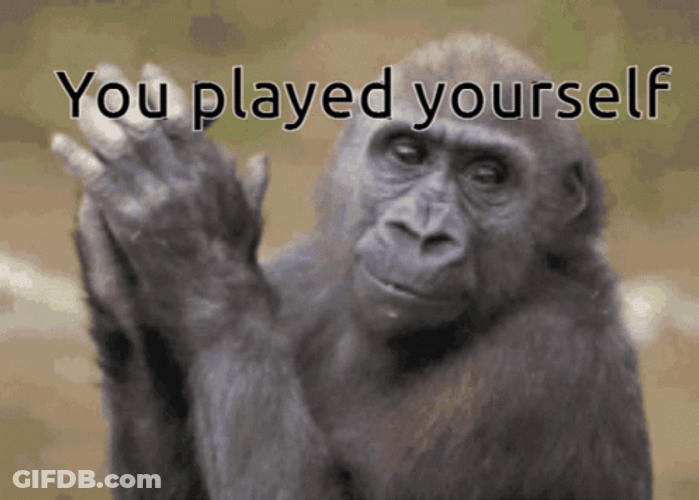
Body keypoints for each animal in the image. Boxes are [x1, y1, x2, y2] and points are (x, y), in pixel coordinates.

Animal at [52, 33, 652, 499]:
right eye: (407, 153)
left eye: (487, 176)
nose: (421, 234)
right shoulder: (302, 275)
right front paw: (119, 284)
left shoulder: (549, 358)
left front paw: (192, 234)